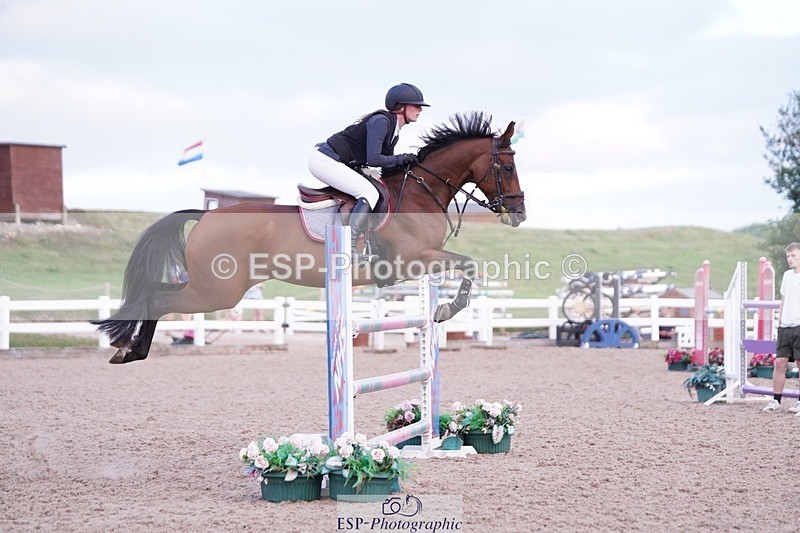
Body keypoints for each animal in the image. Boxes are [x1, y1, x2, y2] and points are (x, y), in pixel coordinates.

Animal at [94, 112, 527, 364]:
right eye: (506, 166)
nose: (519, 213)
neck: (420, 192)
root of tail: (208, 215)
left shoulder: (422, 259)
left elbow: (467, 266)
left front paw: (443, 309)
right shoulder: (414, 257)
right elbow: (468, 265)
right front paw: (446, 310)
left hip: (211, 286)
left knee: (158, 294)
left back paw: (126, 347)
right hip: (217, 290)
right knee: (158, 299)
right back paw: (129, 351)